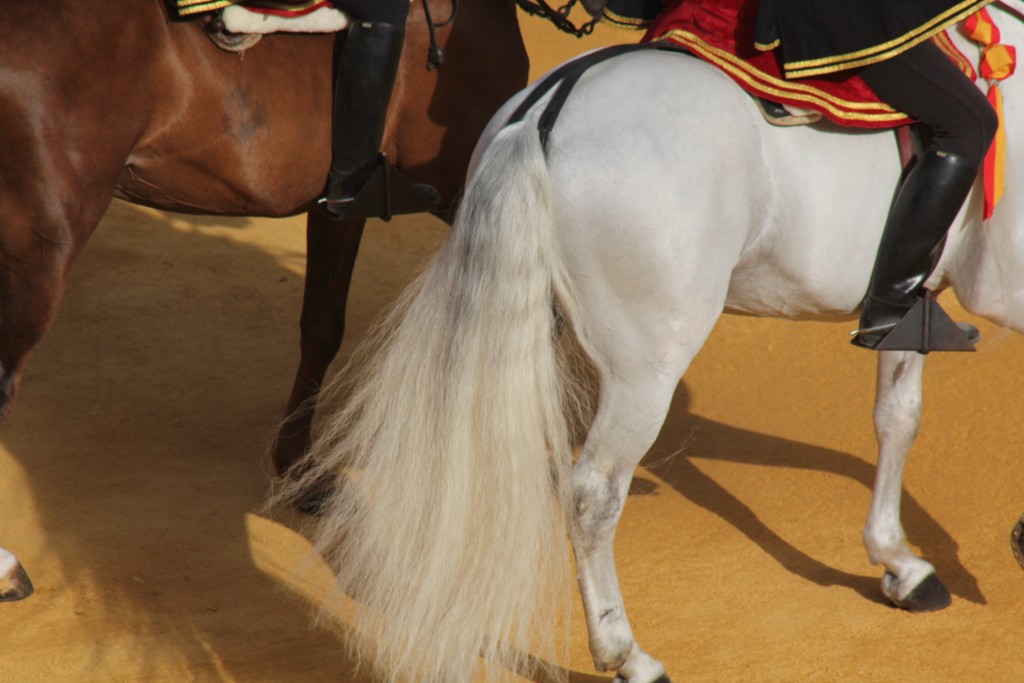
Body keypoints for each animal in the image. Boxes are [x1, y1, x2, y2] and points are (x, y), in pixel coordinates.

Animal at [284, 2, 1024, 679]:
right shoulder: (1000, 289)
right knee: (592, 493)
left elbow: (897, 416)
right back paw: (626, 654)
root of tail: (549, 112)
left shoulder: (913, 299)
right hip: (647, 365)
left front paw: (900, 563)